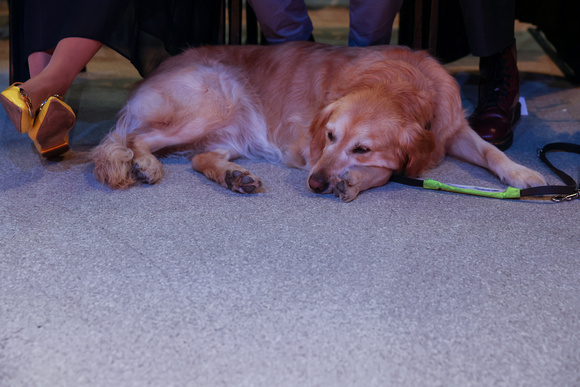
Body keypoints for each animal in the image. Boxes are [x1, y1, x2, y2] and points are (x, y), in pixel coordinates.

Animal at [93, 42, 548, 203]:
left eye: (361, 148)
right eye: (329, 136)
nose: (313, 183)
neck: (402, 83)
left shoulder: (451, 130)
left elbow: (490, 150)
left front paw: (525, 174)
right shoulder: (304, 149)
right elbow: (389, 172)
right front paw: (355, 180)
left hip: (232, 129)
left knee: (199, 158)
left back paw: (235, 177)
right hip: (214, 101)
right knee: (129, 136)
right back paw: (145, 163)